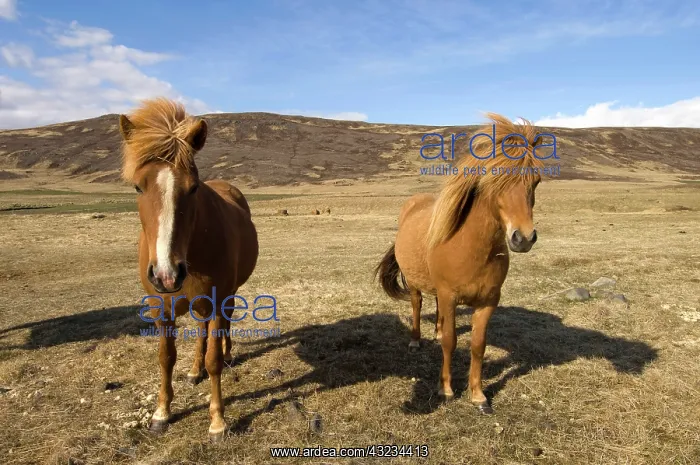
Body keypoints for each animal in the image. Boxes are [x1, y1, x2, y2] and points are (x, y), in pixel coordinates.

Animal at [119, 98, 259, 441]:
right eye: (137, 187)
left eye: (193, 188)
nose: (166, 274)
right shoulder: (161, 308)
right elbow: (166, 357)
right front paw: (161, 412)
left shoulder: (217, 299)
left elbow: (214, 360)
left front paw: (217, 421)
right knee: (201, 331)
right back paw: (194, 370)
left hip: (227, 295)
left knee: (223, 326)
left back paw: (227, 354)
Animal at [375, 113, 545, 414]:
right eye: (495, 178)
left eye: (535, 181)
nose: (523, 238)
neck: (471, 248)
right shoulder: (450, 295)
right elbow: (450, 342)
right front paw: (446, 389)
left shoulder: (488, 301)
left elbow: (478, 345)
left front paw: (478, 395)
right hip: (415, 283)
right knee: (417, 305)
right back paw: (416, 340)